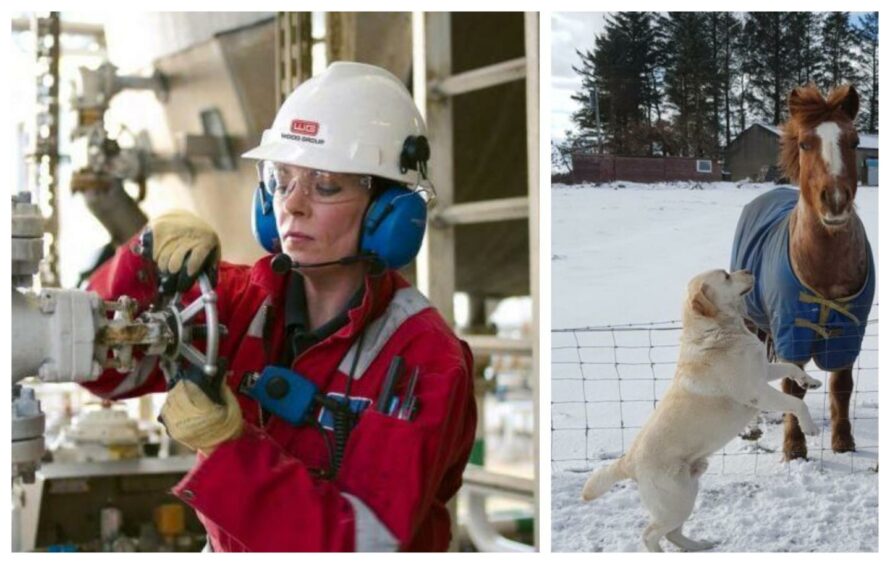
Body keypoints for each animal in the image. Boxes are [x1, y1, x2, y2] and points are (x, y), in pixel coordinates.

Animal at [576, 268, 820, 552]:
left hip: (688, 491)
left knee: (672, 533)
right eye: (726, 276)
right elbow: (797, 402)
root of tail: (628, 461)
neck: (720, 330)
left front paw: (810, 381)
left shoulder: (764, 371)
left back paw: (698, 545)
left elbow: (791, 367)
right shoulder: (756, 391)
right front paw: (810, 426)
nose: (748, 270)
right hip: (675, 500)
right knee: (650, 534)